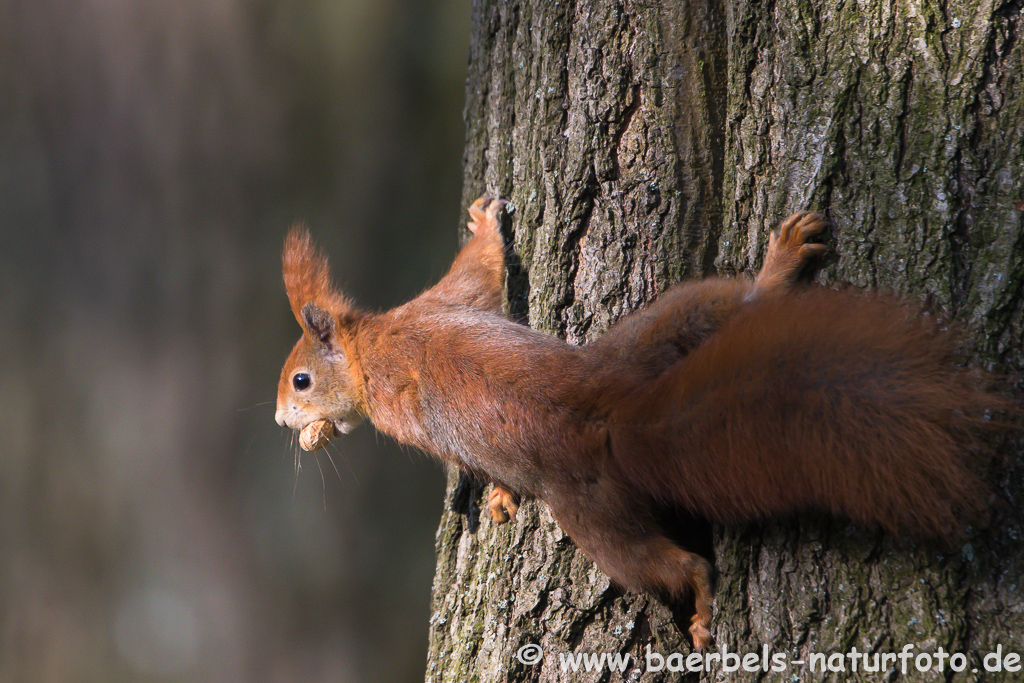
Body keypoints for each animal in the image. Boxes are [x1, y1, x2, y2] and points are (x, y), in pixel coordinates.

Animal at [274, 196, 1007, 647]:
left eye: (300, 380)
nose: (283, 420)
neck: (371, 345)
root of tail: (614, 416)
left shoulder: (434, 319)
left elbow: (477, 275)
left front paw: (482, 226)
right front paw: (505, 496)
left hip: (596, 515)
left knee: (678, 567)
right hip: (649, 359)